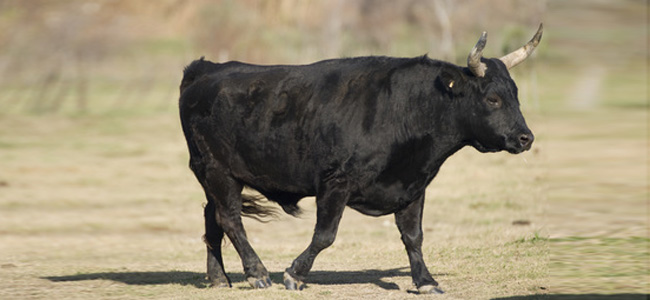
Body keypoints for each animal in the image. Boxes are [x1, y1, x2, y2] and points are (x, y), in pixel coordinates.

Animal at [178, 25, 540, 292]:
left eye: (515, 95)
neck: (406, 108)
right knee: (230, 219)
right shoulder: (335, 183)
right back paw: (257, 273)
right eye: (492, 99)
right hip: (217, 170)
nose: (526, 138)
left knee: (213, 217)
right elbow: (325, 235)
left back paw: (219, 278)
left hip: (219, 177)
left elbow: (414, 236)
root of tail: (206, 69)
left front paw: (425, 281)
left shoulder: (414, 185)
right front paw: (295, 274)